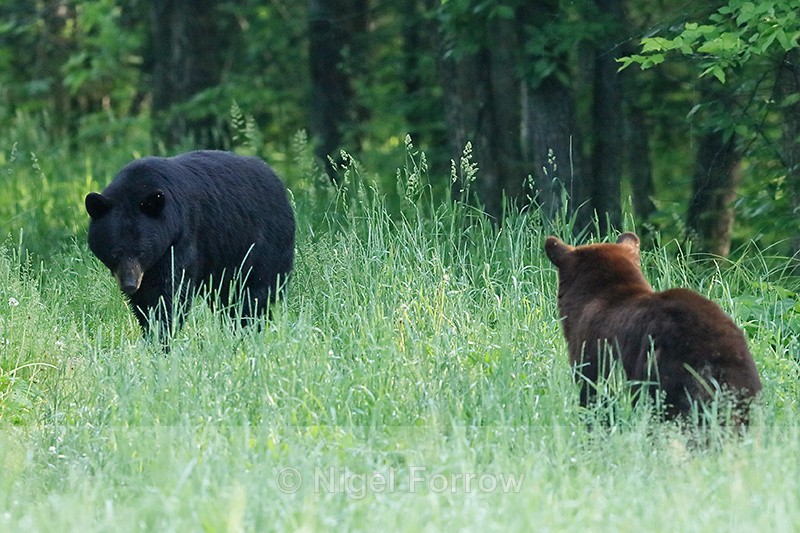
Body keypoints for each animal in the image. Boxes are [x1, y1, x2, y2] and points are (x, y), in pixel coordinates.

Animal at [85, 150, 295, 338]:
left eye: (142, 252)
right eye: (115, 253)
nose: (129, 284)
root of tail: (278, 183)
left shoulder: (180, 239)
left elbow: (169, 291)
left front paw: (162, 335)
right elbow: (143, 300)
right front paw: (149, 329)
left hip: (263, 244)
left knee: (256, 292)